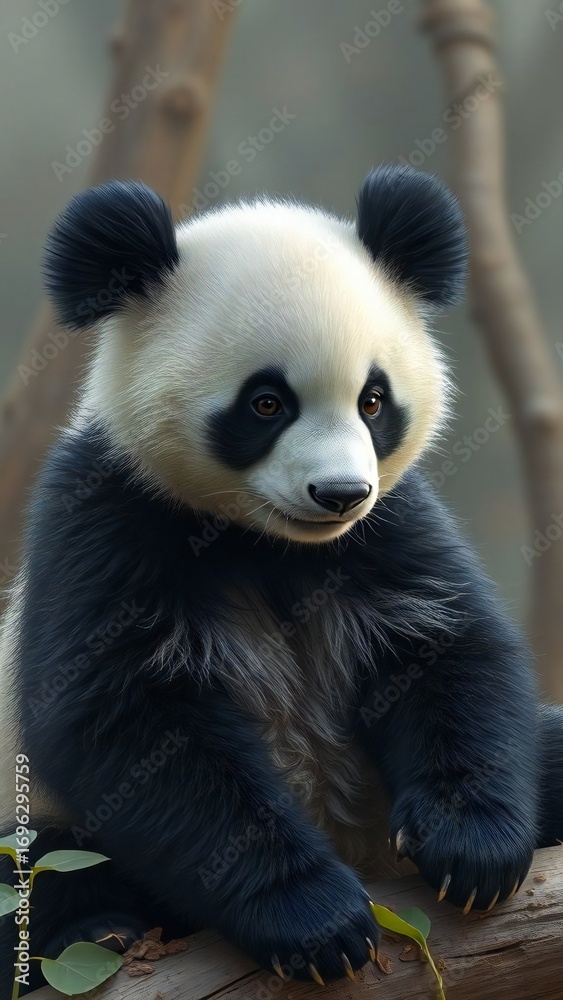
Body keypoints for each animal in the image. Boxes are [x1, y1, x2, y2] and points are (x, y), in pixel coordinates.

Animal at [1, 165, 562, 995]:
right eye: (266, 403)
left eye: (372, 400)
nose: (340, 494)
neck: (270, 542)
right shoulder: (109, 518)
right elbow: (125, 719)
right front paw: (317, 923)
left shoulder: (389, 528)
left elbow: (451, 650)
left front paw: (470, 852)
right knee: (42, 860)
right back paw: (99, 927)